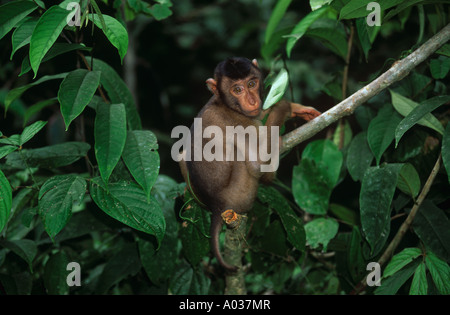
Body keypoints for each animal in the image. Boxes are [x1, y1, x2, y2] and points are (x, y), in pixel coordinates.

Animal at [179, 56, 320, 272]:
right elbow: (257, 162)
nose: (253, 101)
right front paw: (284, 106)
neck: (224, 104)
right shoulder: (237, 123)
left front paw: (294, 108)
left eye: (252, 84)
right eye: (237, 89)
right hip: (241, 194)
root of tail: (217, 206)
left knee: (181, 154)